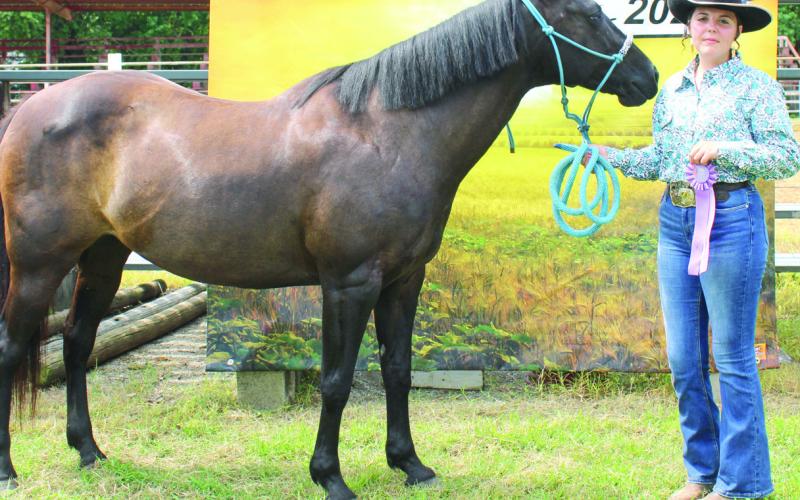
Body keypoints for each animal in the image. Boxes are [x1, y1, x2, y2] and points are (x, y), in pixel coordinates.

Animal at [0, 0, 658, 497]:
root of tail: (30, 107)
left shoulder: (404, 280)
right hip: (38, 265)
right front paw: (331, 478)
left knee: (78, 343)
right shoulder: (350, 282)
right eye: (587, 13)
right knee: (12, 349)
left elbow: (397, 369)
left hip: (103, 257)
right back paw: (10, 468)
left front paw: (409, 464)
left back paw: (89, 451)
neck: (388, 132)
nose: (646, 77)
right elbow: (337, 379)